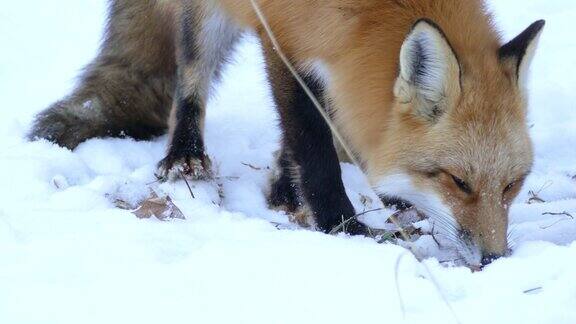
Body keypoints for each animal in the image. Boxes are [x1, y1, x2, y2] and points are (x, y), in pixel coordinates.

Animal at [30, 0, 544, 266]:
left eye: (511, 185)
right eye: (458, 182)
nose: (496, 258)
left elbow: (314, 131)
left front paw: (287, 190)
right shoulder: (283, 35)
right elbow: (310, 143)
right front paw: (343, 226)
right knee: (190, 77)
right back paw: (184, 156)